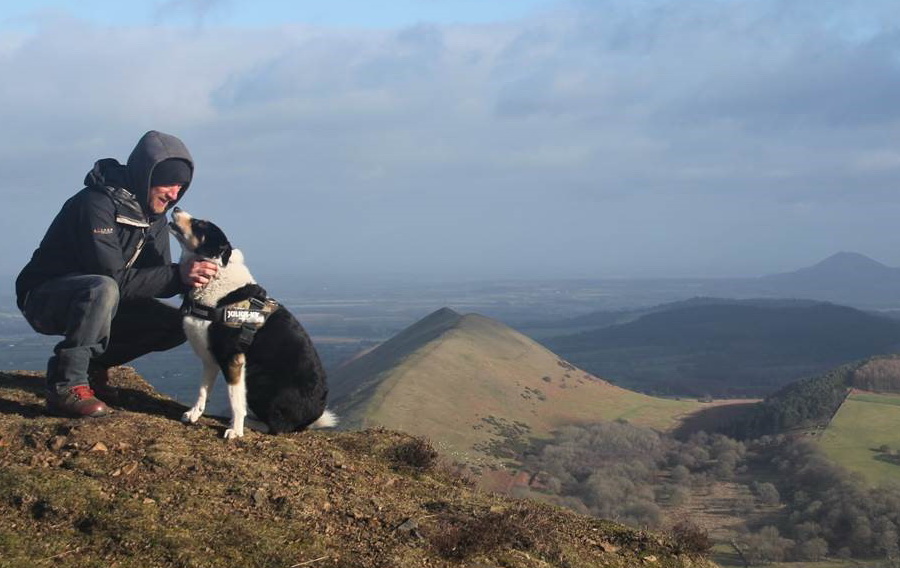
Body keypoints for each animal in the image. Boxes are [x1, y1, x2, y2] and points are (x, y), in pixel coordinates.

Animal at [170, 209, 338, 440]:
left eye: (199, 224)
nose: (176, 209)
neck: (216, 277)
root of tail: (312, 416)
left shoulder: (233, 359)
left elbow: (235, 401)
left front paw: (236, 430)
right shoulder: (211, 358)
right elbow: (203, 390)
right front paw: (195, 414)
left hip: (259, 379)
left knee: (278, 426)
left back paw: (248, 422)